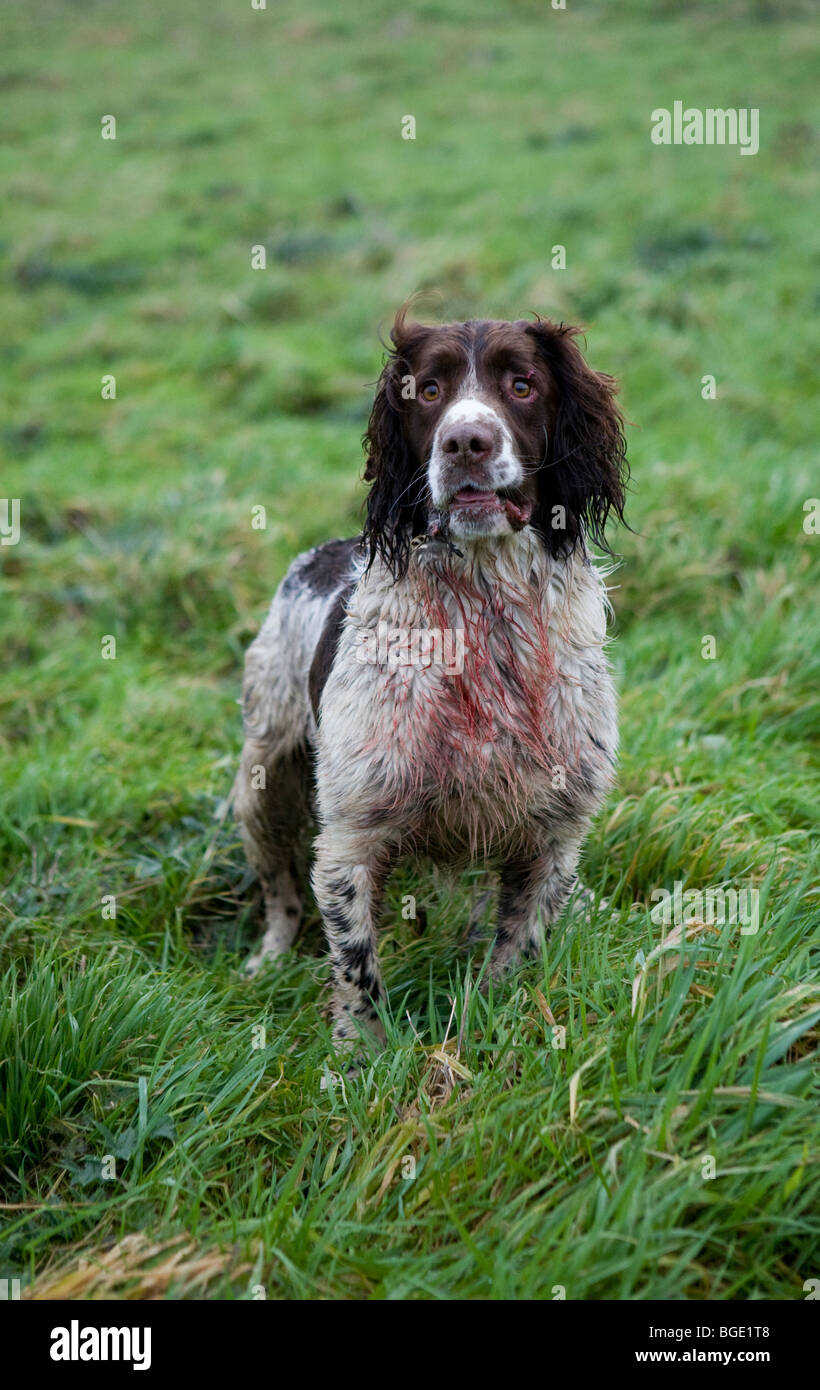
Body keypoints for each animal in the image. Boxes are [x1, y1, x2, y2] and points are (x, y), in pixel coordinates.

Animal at [236, 307, 630, 1045]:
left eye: (522, 384)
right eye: (427, 391)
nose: (466, 441)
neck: (485, 618)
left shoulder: (554, 836)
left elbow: (514, 952)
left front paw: (486, 1024)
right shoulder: (352, 837)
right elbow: (356, 966)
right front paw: (360, 1055)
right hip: (261, 778)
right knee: (280, 893)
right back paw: (268, 961)